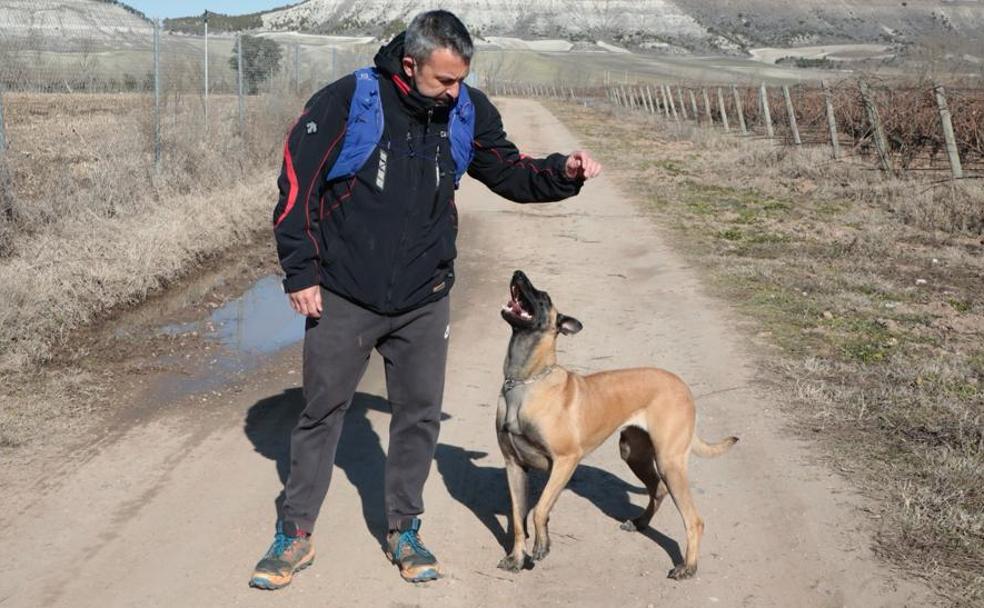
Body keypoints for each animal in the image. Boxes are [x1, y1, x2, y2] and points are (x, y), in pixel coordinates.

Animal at [496, 270, 736, 580]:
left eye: (543, 297)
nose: (518, 273)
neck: (525, 381)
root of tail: (683, 387)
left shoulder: (565, 461)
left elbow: (539, 509)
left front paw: (542, 544)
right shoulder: (514, 465)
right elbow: (518, 518)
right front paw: (516, 557)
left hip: (669, 461)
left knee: (694, 519)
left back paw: (688, 566)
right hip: (634, 453)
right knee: (657, 489)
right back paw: (640, 522)